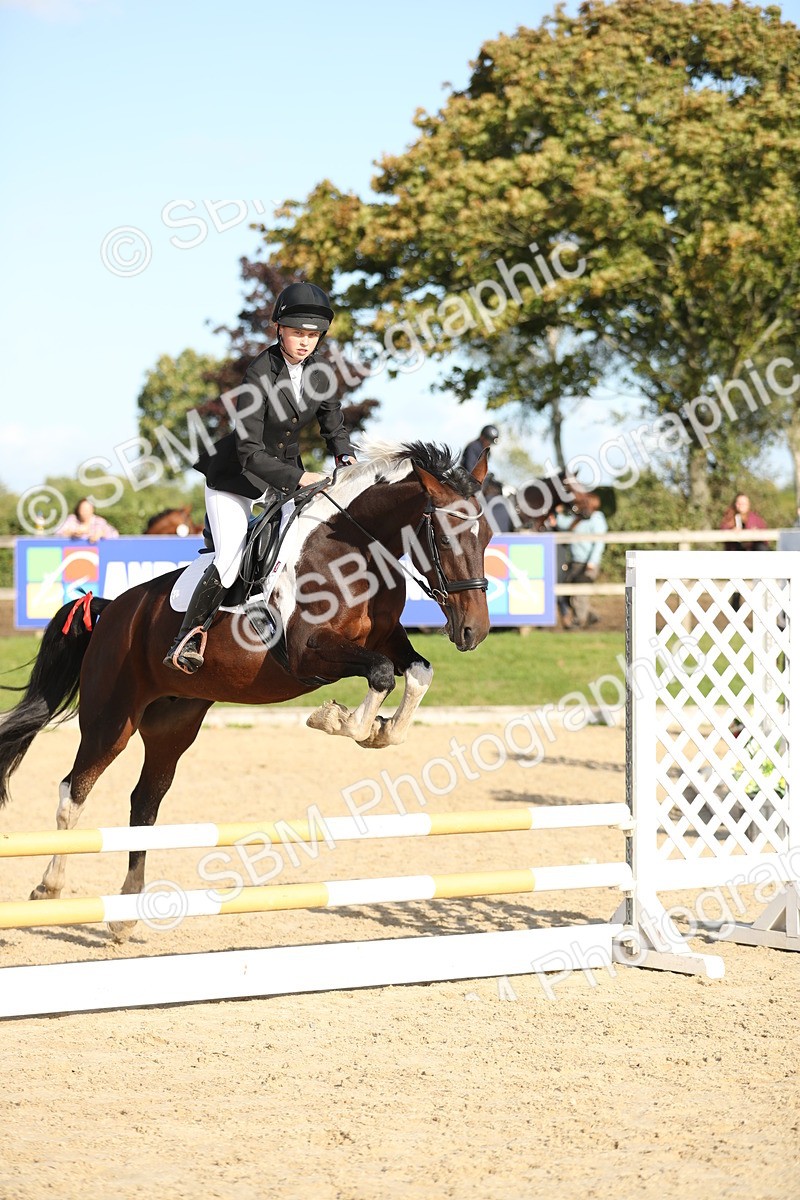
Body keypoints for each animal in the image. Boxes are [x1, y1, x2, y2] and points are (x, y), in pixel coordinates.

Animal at [0, 442, 492, 939]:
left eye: (487, 536)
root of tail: (110, 607)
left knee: (144, 803)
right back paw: (49, 888)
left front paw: (381, 731)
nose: (474, 632)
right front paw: (339, 719)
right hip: (111, 717)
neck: (352, 550)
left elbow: (416, 673)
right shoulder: (307, 654)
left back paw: (126, 913)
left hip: (173, 723)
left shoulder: (386, 639)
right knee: (73, 792)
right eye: (445, 539)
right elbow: (383, 674)